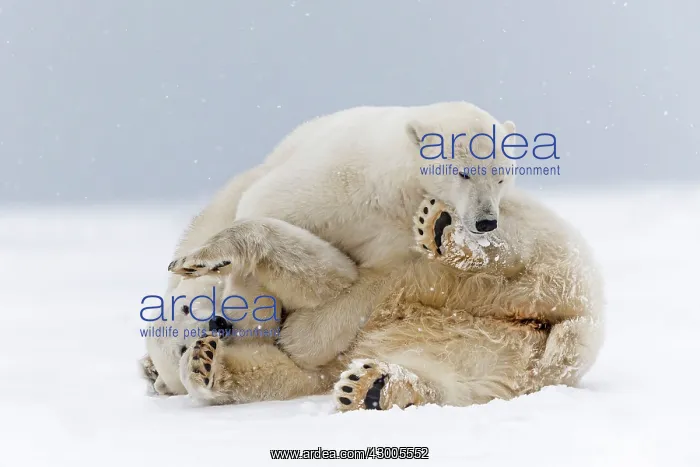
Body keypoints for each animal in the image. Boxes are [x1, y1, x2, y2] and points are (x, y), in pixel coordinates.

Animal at [145, 101, 523, 394]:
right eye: (463, 173)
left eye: (500, 176)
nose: (486, 221)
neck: (387, 188)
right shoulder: (331, 185)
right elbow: (276, 217)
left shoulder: (397, 238)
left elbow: (364, 281)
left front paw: (299, 337)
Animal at [170, 191, 603, 409]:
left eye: (189, 307)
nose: (218, 326)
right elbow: (287, 373)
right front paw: (203, 361)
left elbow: (324, 274)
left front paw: (198, 258)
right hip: (500, 346)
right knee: (453, 377)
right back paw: (373, 386)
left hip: (540, 249)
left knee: (506, 250)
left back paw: (445, 231)